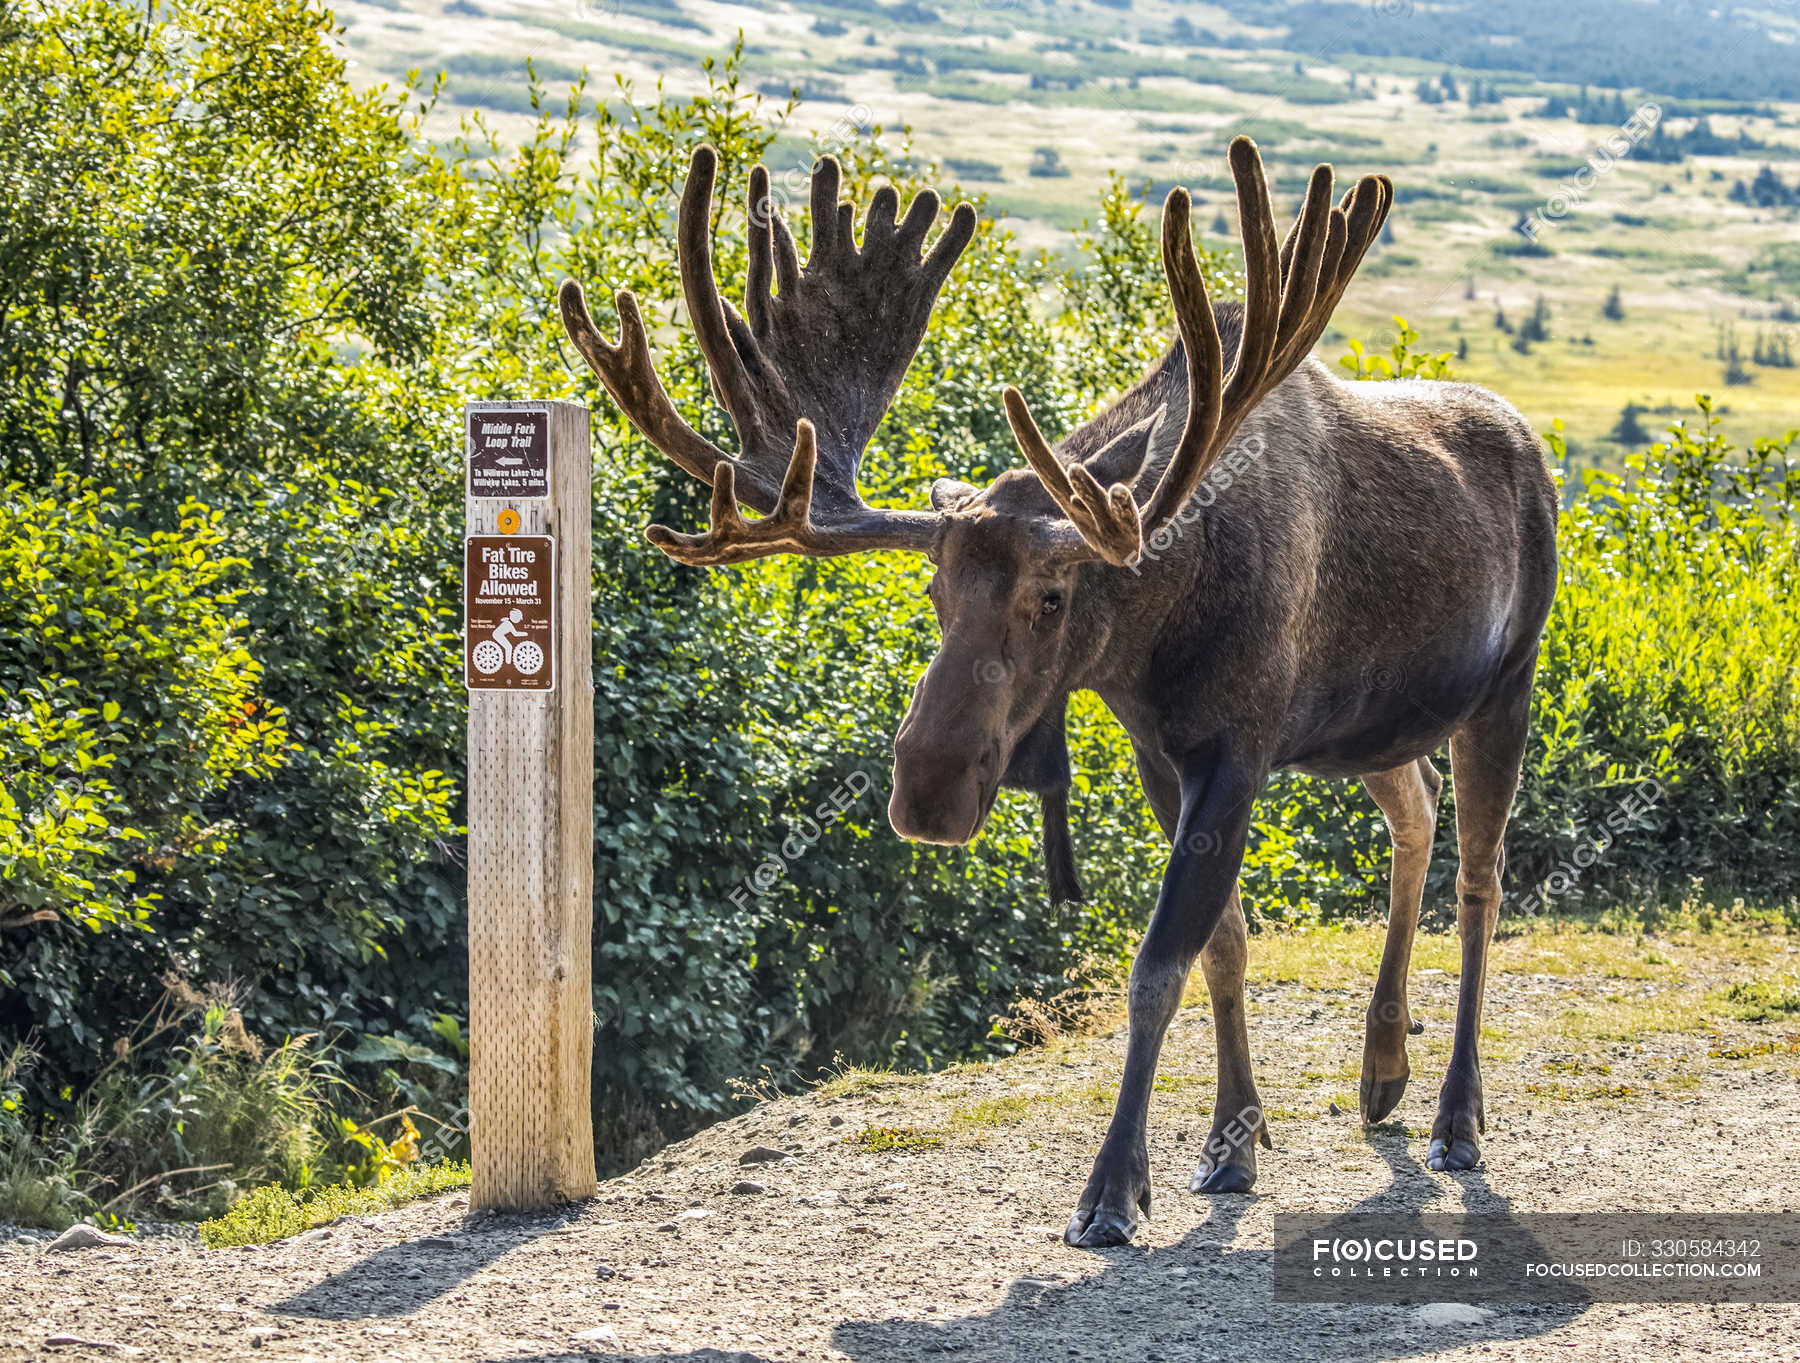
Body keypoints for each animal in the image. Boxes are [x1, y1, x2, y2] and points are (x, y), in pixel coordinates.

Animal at [561, 138, 1562, 1245]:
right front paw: (1232, 1138)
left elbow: (1158, 964)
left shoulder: (1241, 748)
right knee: (1415, 815)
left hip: (1506, 683)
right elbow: (1226, 944)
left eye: (1052, 594)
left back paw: (1457, 1114)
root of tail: (1535, 448)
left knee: (1483, 878)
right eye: (934, 586)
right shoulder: (1161, 751)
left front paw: (1115, 1186)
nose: (926, 788)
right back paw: (1382, 1068)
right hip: (1374, 727)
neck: (1160, 621)